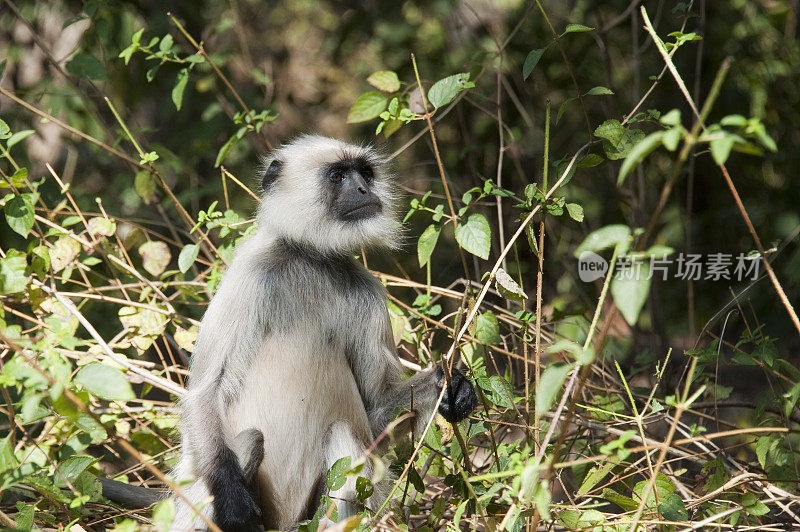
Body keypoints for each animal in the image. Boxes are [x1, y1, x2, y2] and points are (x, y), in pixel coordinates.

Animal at [172, 135, 478, 528]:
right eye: (337, 176)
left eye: (364, 174)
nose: (363, 190)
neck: (312, 260)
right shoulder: (252, 273)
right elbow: (205, 393)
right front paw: (233, 503)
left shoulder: (368, 293)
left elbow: (377, 408)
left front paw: (452, 387)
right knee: (248, 440)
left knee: (343, 437)